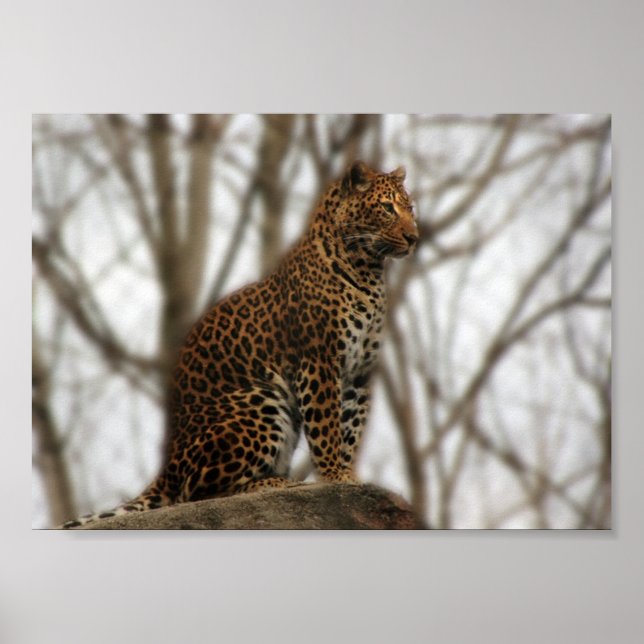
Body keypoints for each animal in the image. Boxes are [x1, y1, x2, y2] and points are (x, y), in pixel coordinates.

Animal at [60, 161, 419, 528]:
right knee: (199, 495)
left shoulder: (361, 371)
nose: (414, 237)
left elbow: (352, 428)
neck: (368, 270)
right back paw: (275, 484)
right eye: (387, 208)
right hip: (261, 399)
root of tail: (166, 470)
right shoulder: (319, 361)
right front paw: (334, 477)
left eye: (410, 208)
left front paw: (349, 475)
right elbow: (327, 427)